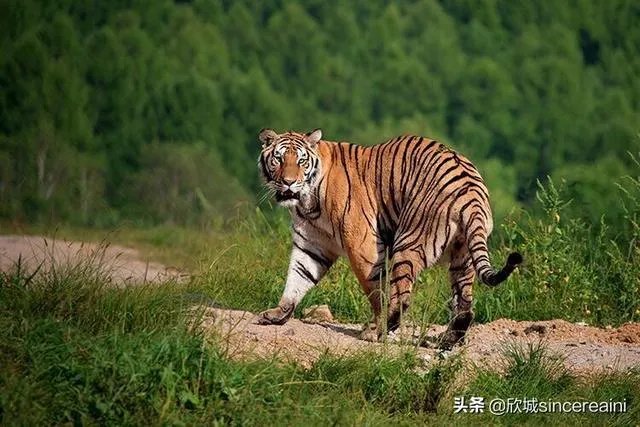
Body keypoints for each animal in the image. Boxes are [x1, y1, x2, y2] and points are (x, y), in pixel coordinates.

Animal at [256, 128, 522, 349]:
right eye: (279, 158)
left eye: (301, 160)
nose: (289, 182)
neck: (306, 203)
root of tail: (471, 194)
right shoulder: (311, 245)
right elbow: (297, 278)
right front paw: (278, 314)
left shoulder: (362, 244)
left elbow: (375, 290)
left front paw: (373, 326)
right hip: (462, 255)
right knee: (464, 304)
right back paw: (447, 340)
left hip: (410, 241)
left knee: (402, 298)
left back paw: (381, 330)